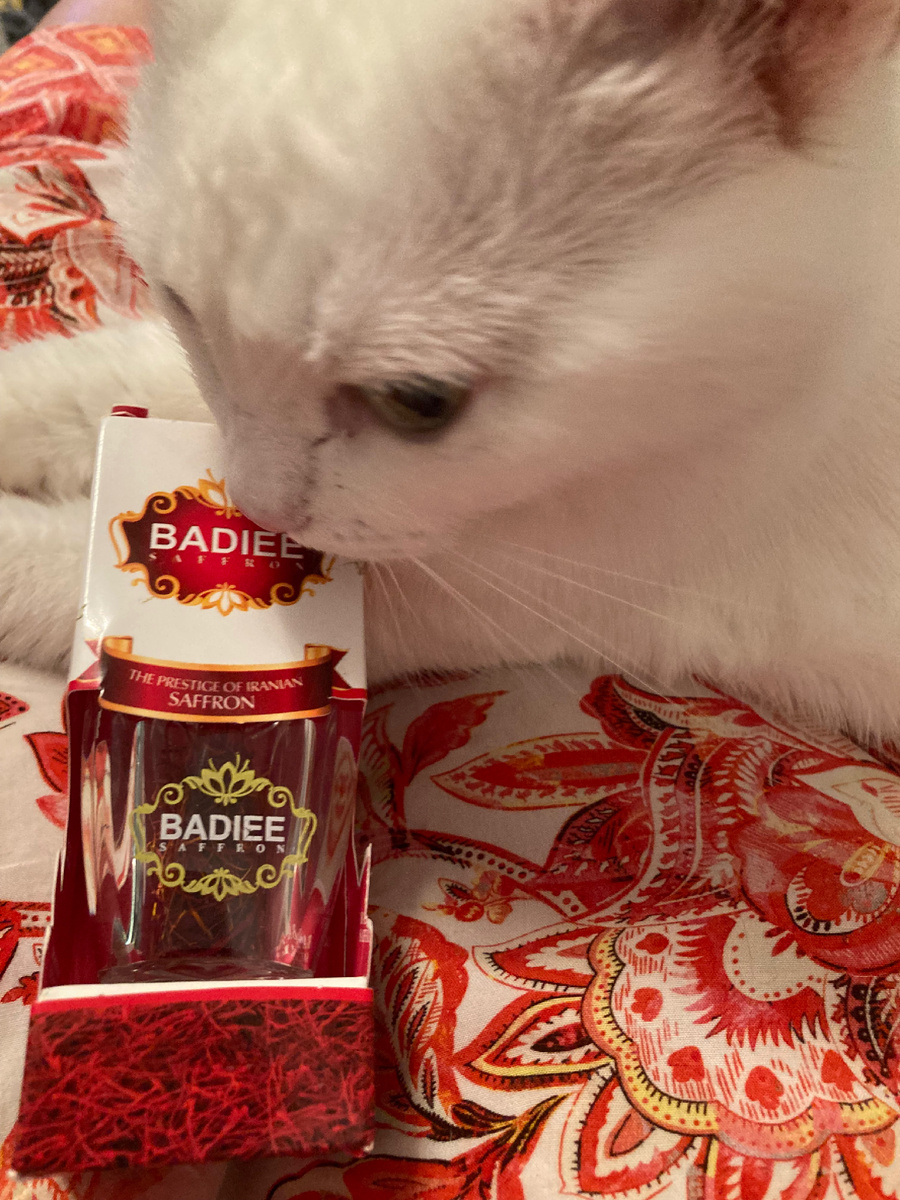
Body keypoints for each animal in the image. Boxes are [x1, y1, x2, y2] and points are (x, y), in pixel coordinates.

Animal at [2, 0, 900, 741]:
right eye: (183, 304)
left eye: (420, 402)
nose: (258, 507)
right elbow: (96, 379)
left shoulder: (518, 582)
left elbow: (55, 567)